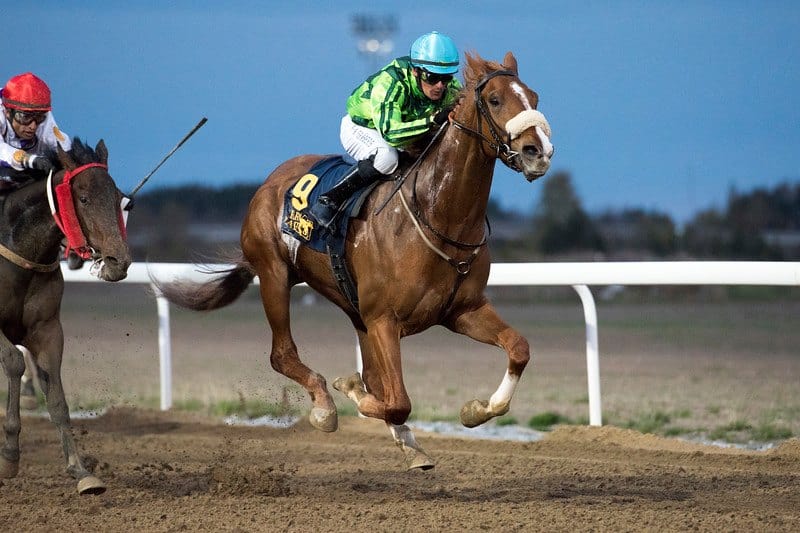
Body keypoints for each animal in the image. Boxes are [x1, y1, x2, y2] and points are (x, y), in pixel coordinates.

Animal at [0, 139, 130, 492]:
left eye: (118, 197)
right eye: (83, 199)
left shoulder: (47, 330)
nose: (119, 261)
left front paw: (81, 471)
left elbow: (57, 397)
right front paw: (9, 455)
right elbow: (15, 362)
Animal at [157, 53, 556, 470]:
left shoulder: (462, 310)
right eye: (494, 100)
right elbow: (395, 401)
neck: (438, 215)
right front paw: (350, 390)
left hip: (354, 309)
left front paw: (477, 409)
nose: (538, 151)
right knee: (283, 354)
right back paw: (324, 407)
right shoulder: (384, 319)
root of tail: (269, 182)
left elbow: (518, 348)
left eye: (534, 97)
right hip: (274, 274)